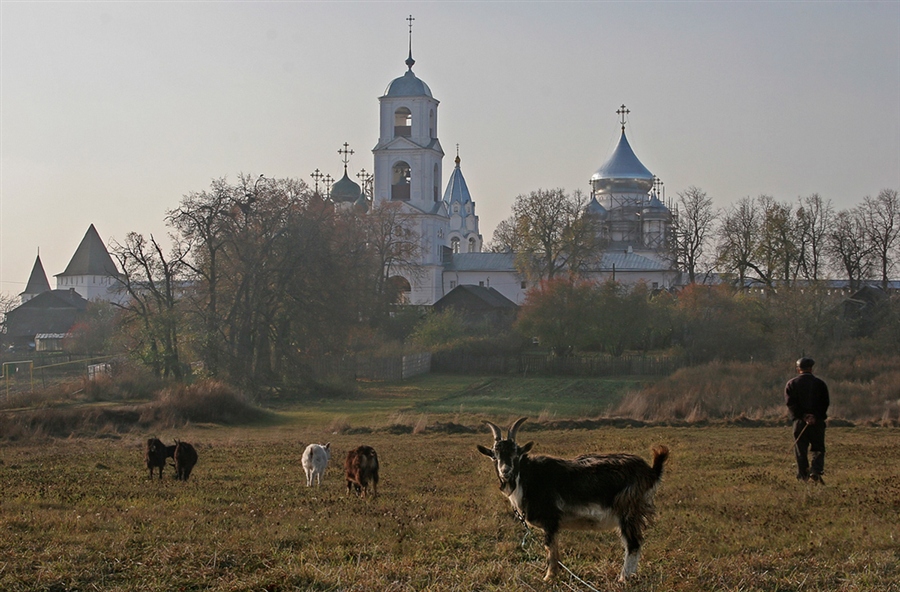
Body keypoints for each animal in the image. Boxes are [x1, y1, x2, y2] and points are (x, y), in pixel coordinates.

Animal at [478, 418, 668, 580]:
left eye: (516, 453)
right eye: (494, 455)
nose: (505, 470)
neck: (526, 477)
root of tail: (650, 471)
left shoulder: (551, 519)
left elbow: (550, 548)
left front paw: (549, 577)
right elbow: (554, 549)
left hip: (628, 510)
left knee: (633, 544)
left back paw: (623, 579)